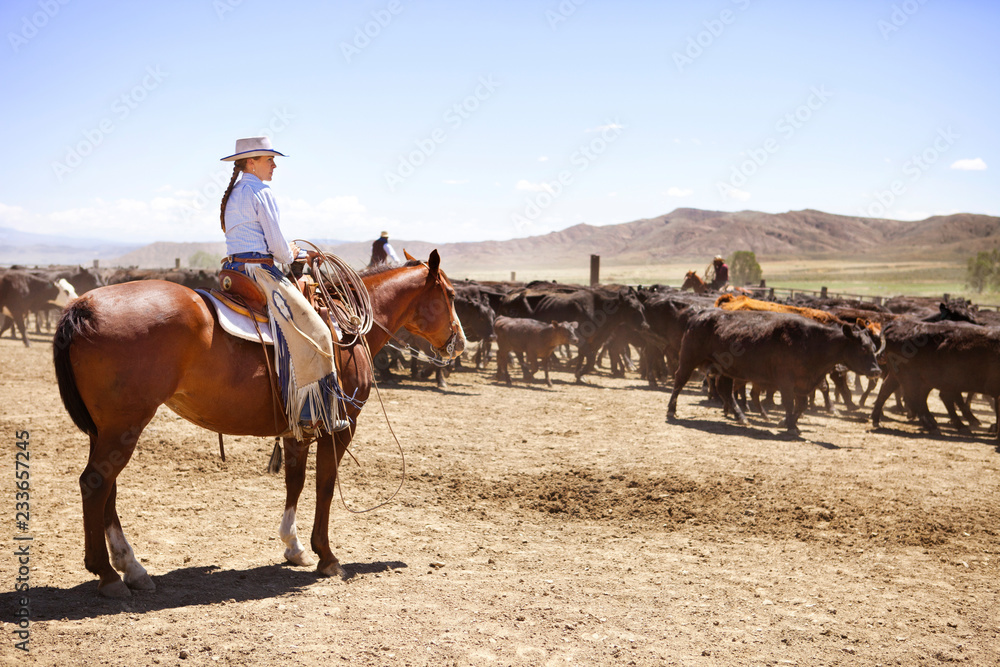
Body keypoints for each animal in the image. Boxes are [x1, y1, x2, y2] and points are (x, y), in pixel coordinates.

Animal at [57, 250, 468, 600]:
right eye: (449, 294)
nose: (459, 341)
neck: (345, 329)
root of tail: (83, 306)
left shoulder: (298, 428)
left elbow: (295, 481)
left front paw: (294, 547)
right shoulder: (341, 426)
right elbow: (324, 486)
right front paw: (327, 556)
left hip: (106, 429)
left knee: (106, 489)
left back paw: (131, 568)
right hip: (124, 425)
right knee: (95, 484)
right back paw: (108, 575)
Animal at [668, 310, 880, 436]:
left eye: (872, 347)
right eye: (862, 348)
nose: (876, 371)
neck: (811, 341)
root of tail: (700, 314)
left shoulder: (803, 383)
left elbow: (801, 405)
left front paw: (785, 422)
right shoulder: (786, 381)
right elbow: (789, 403)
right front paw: (790, 425)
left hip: (725, 370)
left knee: (726, 391)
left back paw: (741, 417)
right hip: (688, 359)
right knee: (679, 380)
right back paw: (671, 410)